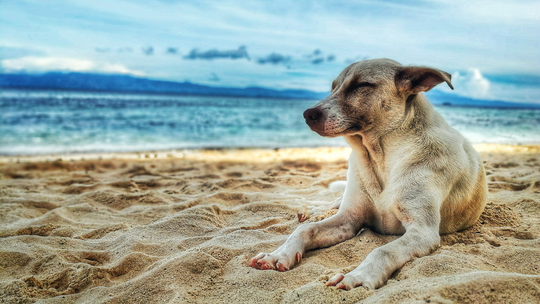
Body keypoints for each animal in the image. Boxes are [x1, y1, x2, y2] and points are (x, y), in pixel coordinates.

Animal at [251, 58, 488, 290]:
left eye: (361, 85)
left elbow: (382, 251)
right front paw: (278, 254)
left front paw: (357, 276)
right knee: (333, 203)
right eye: (333, 87)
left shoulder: (422, 232)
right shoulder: (349, 218)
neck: (379, 158)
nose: (308, 114)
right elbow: (305, 230)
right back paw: (314, 210)